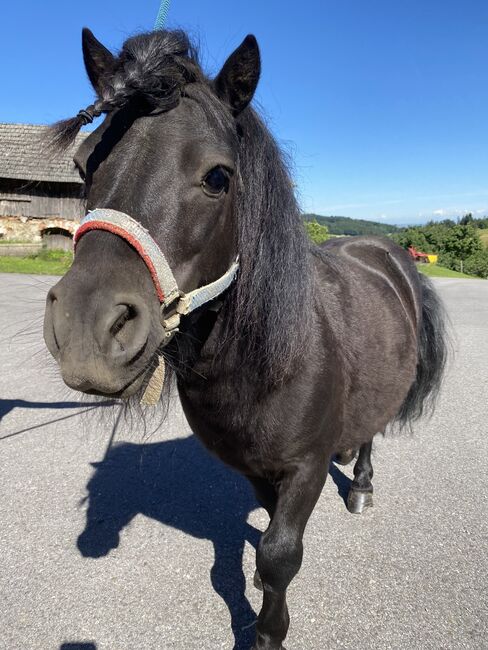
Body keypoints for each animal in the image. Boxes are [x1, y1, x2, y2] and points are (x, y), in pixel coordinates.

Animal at [44, 30, 446, 648]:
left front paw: (267, 630)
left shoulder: (304, 468)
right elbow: (265, 538)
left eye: (217, 177)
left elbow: (279, 556)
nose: (85, 331)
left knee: (373, 432)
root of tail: (388, 252)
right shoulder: (258, 470)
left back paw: (361, 484)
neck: (272, 360)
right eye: (84, 162)